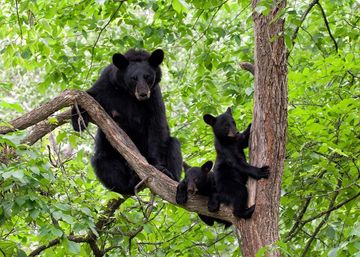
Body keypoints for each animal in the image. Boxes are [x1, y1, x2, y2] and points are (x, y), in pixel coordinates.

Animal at [70, 48, 183, 194]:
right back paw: (129, 183)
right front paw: (77, 119)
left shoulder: (154, 96)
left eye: (147, 76)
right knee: (102, 161)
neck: (129, 94)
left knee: (174, 145)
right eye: (133, 78)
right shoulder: (106, 83)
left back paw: (170, 175)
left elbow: (157, 125)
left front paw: (157, 166)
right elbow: (90, 95)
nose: (143, 94)